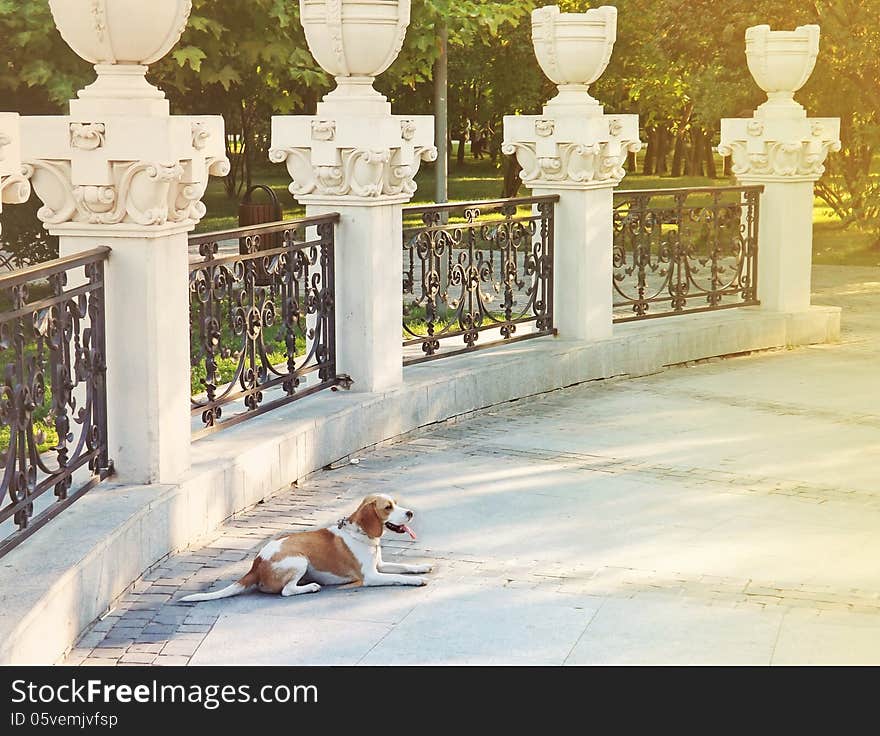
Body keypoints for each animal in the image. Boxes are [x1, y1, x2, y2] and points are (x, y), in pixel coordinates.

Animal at [180, 494, 432, 604]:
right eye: (388, 507)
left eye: (396, 503)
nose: (410, 513)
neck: (361, 534)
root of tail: (256, 564)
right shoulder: (371, 576)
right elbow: (398, 577)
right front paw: (416, 580)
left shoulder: (379, 565)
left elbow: (403, 566)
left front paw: (421, 567)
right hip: (299, 560)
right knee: (286, 591)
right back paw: (310, 587)